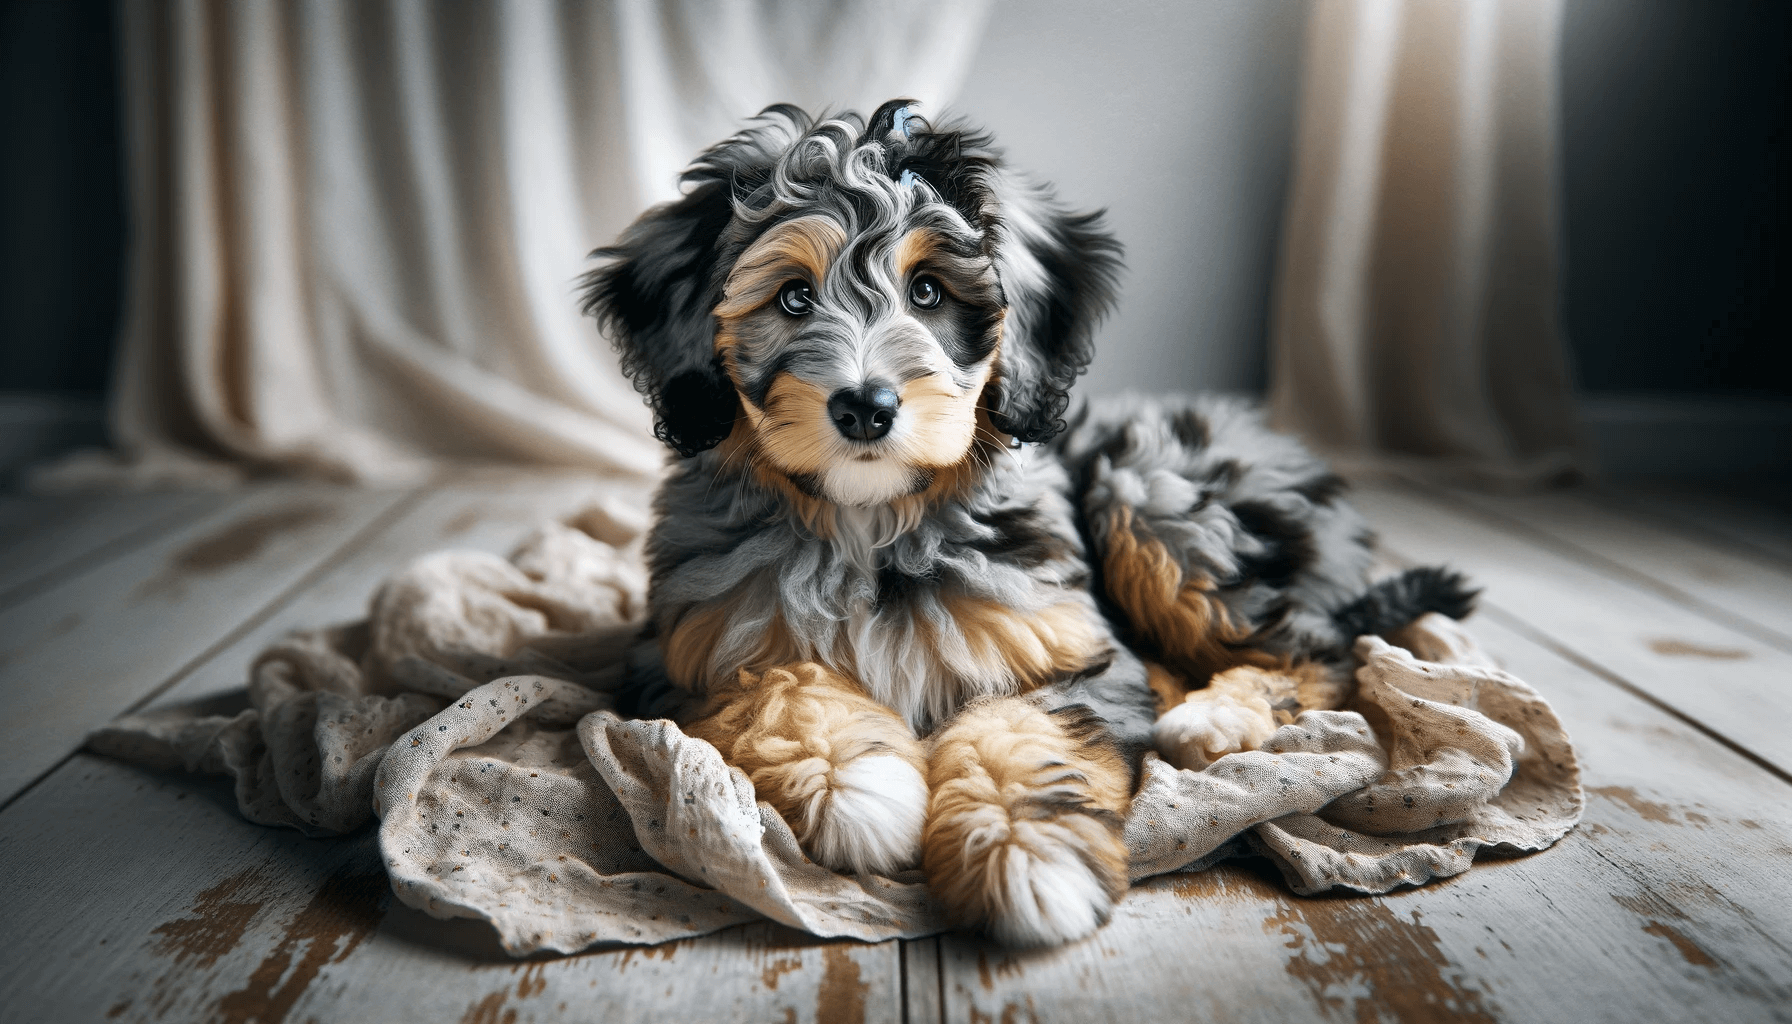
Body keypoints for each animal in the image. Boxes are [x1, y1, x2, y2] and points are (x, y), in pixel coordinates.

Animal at [580, 99, 1476, 946]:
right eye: (794, 297)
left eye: (929, 292)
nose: (866, 406)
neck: (870, 524)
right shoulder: (695, 649)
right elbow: (781, 685)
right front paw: (857, 787)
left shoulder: (1055, 650)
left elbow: (1019, 732)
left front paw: (1023, 855)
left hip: (1153, 495)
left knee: (1317, 649)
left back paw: (1213, 717)